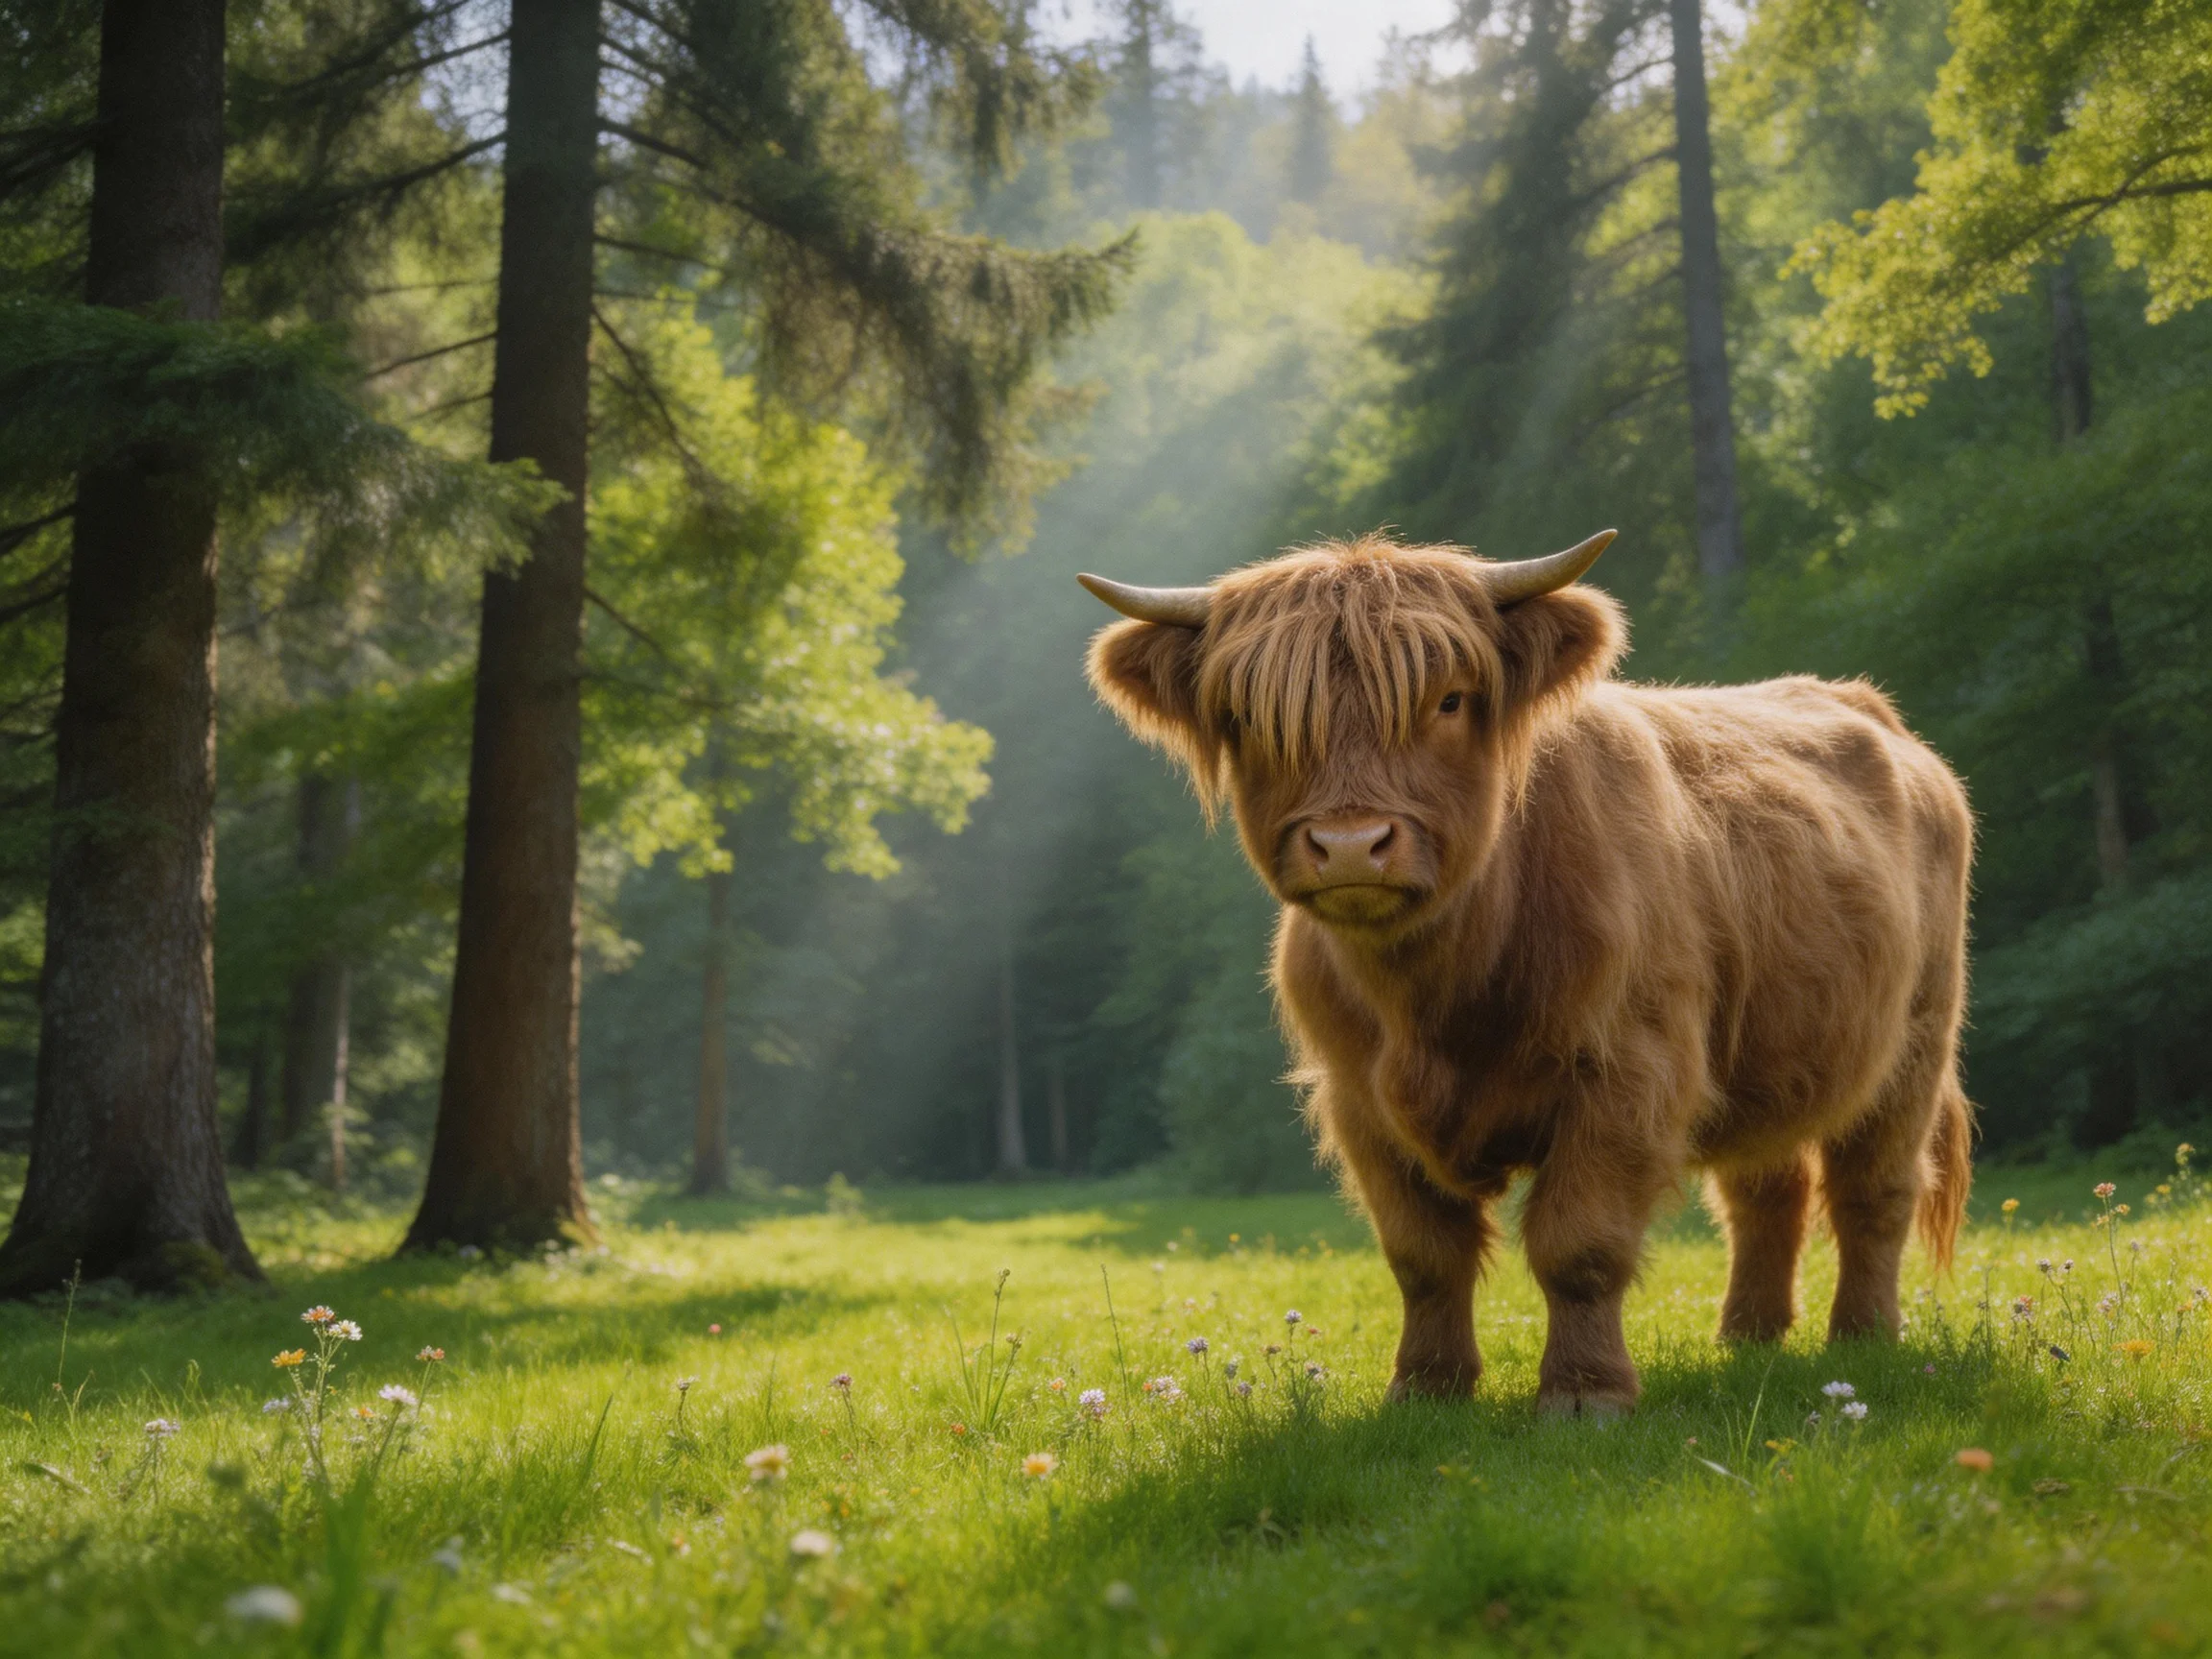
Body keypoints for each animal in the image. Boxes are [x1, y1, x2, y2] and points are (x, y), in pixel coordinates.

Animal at [1079, 531, 1973, 1415]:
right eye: (1248, 718)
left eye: (1448, 701)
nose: (1350, 845)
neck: (1436, 995)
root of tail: (1873, 712)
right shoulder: (1359, 1099)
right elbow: (1422, 1254)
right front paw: (1427, 1389)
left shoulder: (1629, 1072)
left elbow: (1580, 1243)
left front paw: (1585, 1394)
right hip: (1769, 1060)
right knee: (1765, 1192)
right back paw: (1747, 1339)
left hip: (1915, 1043)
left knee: (1874, 1190)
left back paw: (1862, 1339)